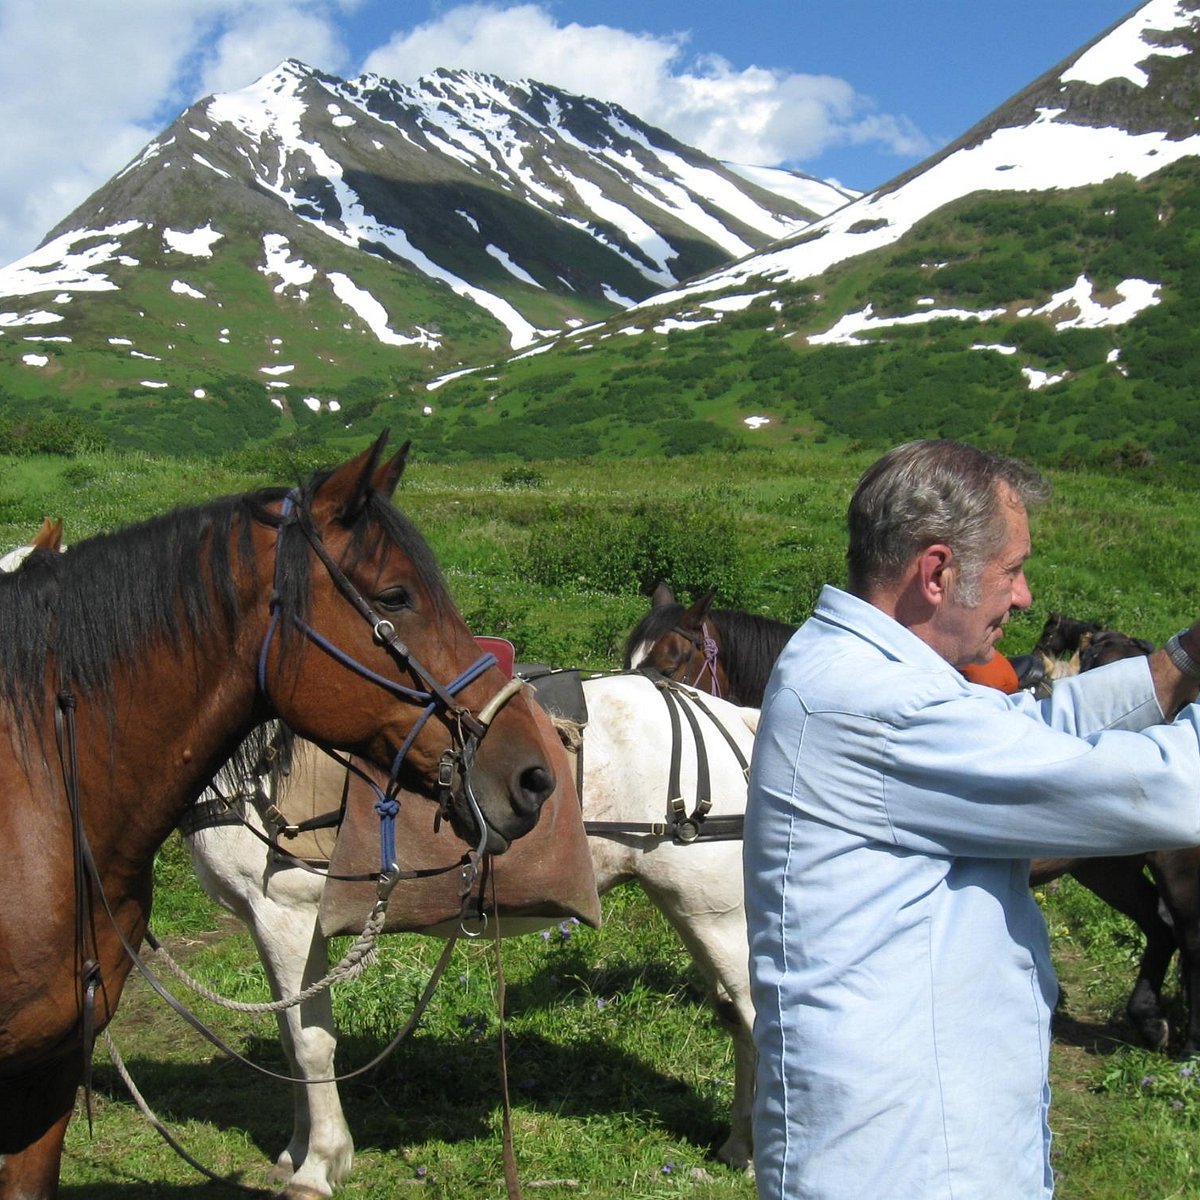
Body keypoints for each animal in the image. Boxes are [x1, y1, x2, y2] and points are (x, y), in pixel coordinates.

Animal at [0, 434, 552, 1200]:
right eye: (395, 597)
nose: (531, 776)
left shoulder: (286, 915)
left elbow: (309, 1042)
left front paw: (321, 1164)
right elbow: (295, 1041)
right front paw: (299, 1151)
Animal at [182, 672, 753, 1195]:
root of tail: (734, 720)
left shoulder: (287, 918)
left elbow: (310, 1045)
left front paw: (319, 1165)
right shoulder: (265, 925)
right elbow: (288, 1037)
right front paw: (296, 1151)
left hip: (716, 916)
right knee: (737, 1021)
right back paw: (738, 1147)